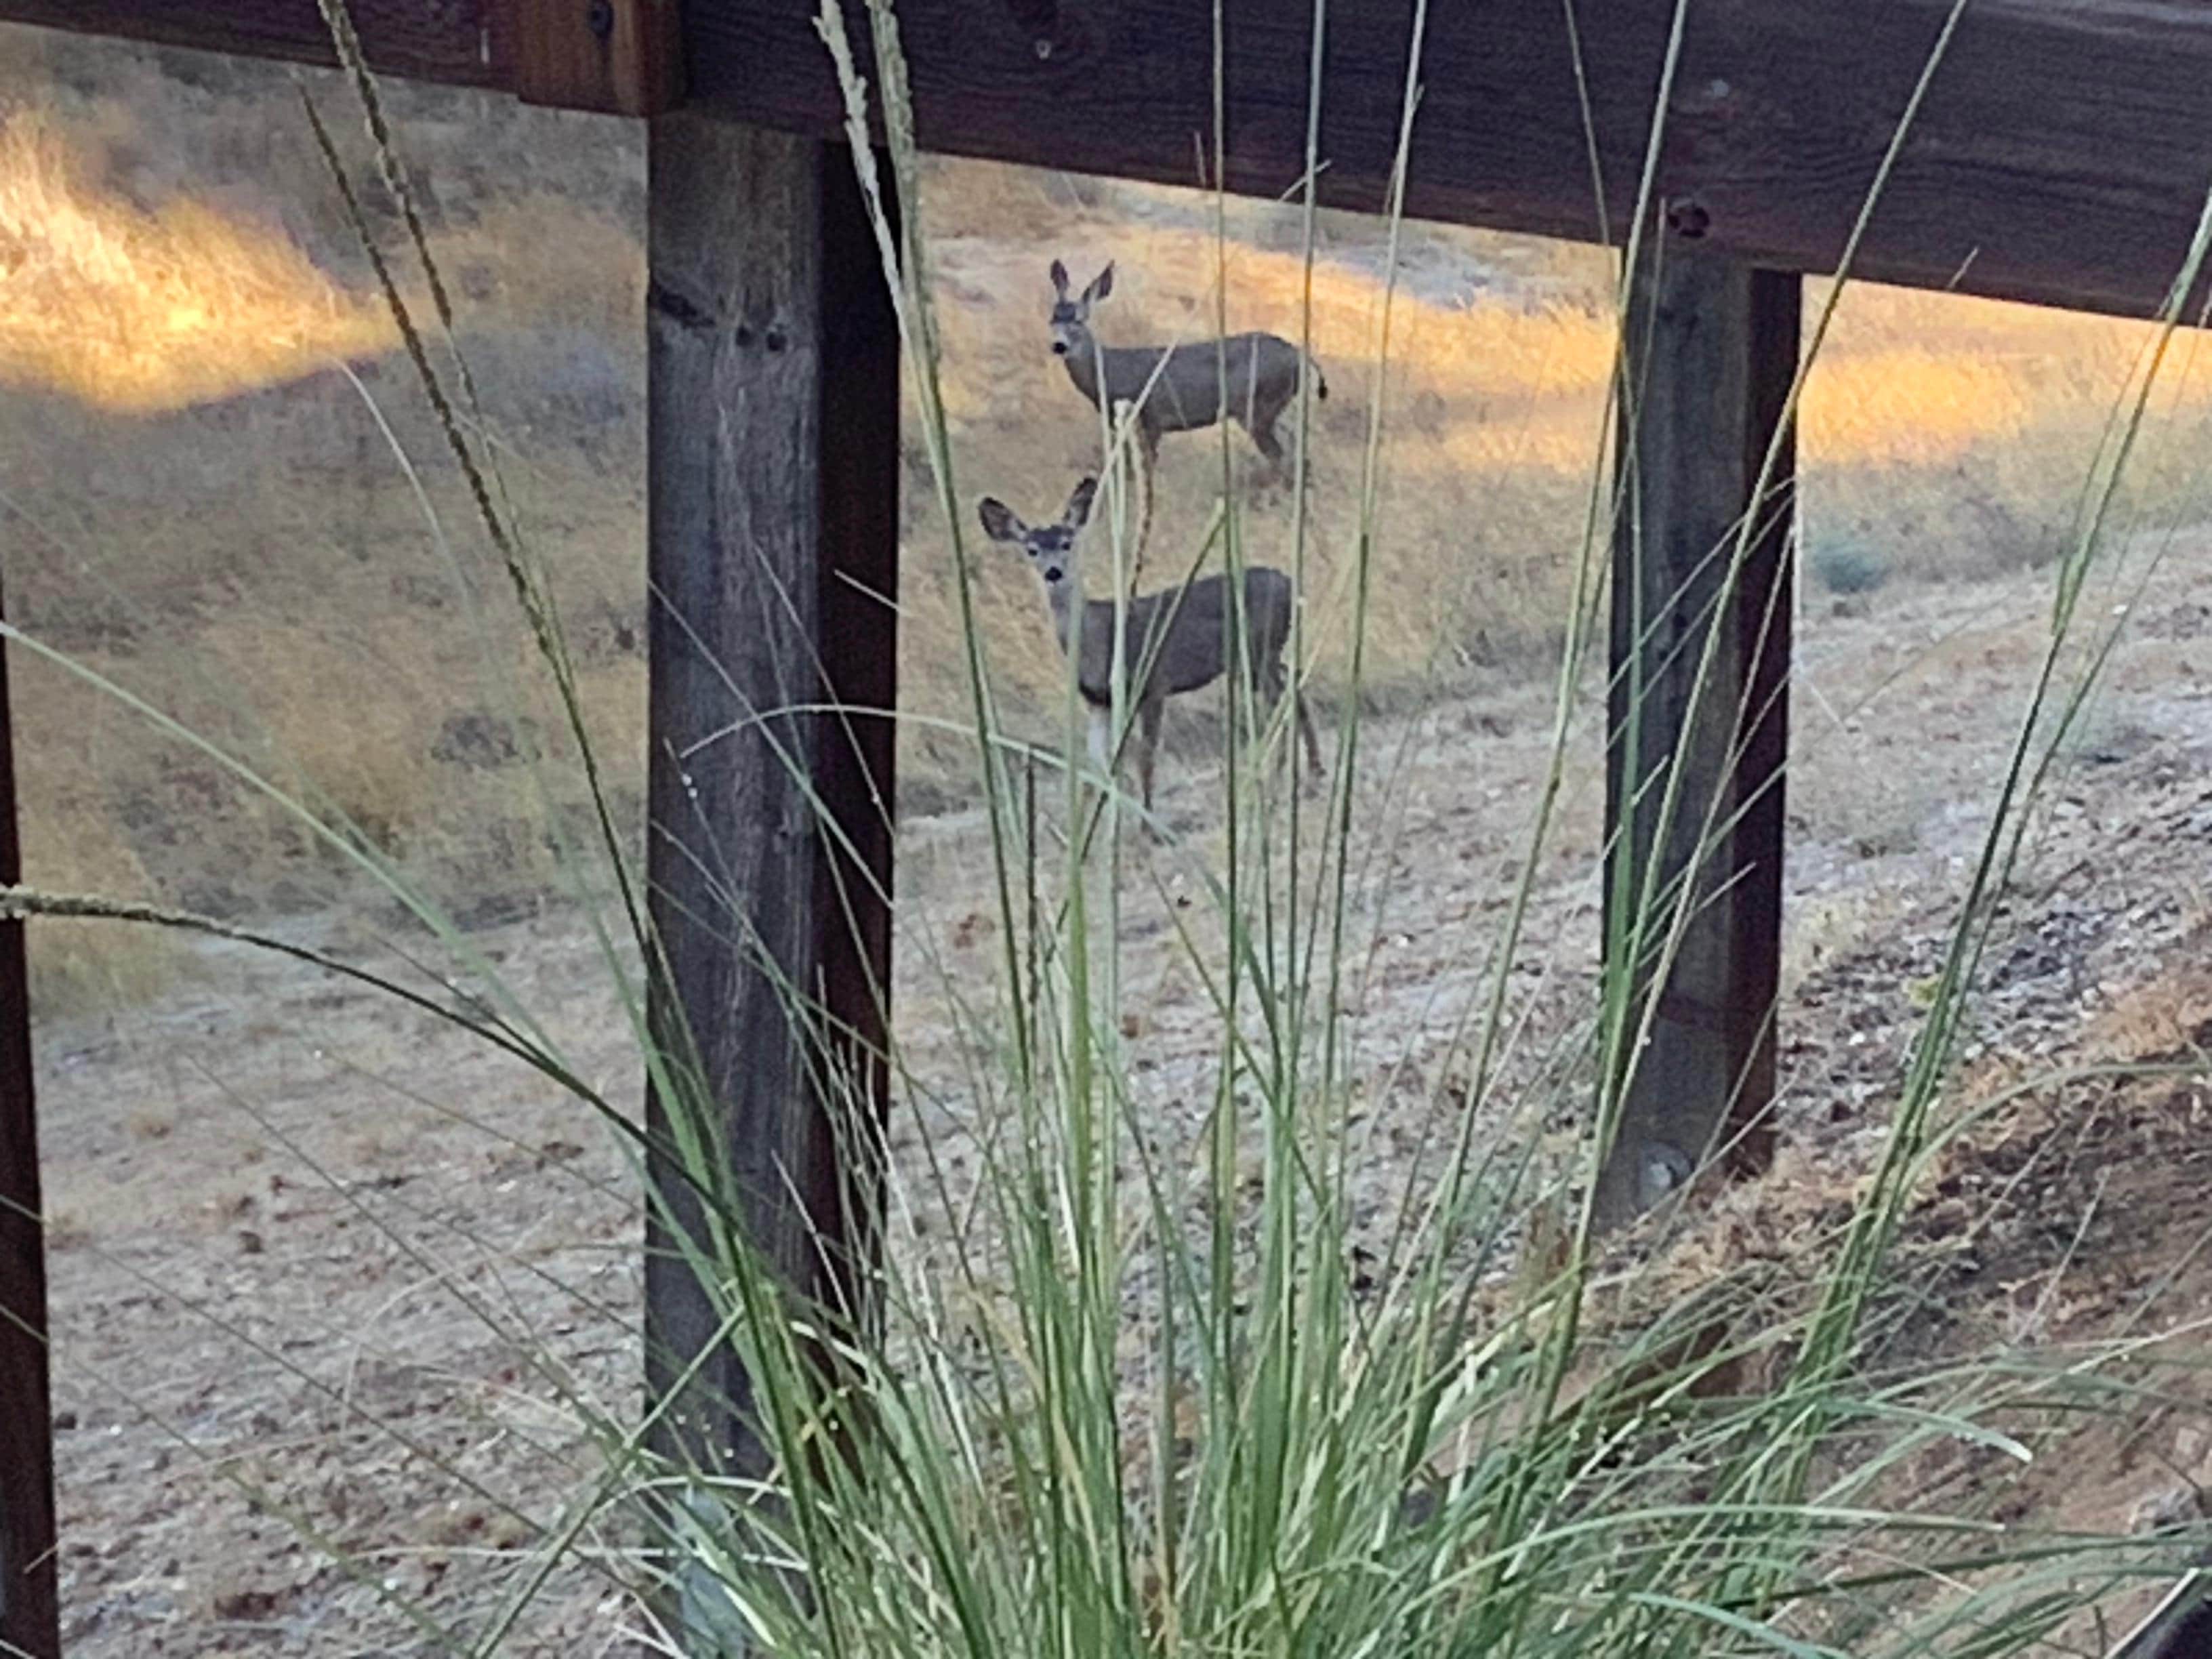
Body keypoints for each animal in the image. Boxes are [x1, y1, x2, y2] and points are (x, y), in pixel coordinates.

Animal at [978, 475, 1324, 829]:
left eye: (1066, 543)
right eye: (1031, 549)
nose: (1053, 573)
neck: (1097, 641)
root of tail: (1290, 583)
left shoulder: (1154, 682)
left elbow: (1145, 756)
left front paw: (1149, 824)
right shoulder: (1099, 701)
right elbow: (1098, 763)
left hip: (1257, 651)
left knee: (1281, 697)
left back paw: (1283, 783)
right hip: (1257, 659)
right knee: (1295, 680)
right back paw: (1312, 775)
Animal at [1048, 258, 1328, 569]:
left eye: (1079, 320)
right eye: (1053, 318)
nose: (1059, 345)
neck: (1109, 373)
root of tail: (1301, 357)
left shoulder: (1150, 418)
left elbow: (1140, 473)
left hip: (1259, 407)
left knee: (1280, 454)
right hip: (1275, 408)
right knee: (1296, 450)